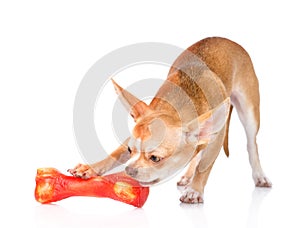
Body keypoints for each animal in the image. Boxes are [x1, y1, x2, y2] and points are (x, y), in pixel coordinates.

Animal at [68, 37, 272, 203]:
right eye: (130, 150)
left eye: (155, 158)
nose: (129, 170)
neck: (176, 109)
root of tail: (228, 40)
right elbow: (114, 155)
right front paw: (91, 168)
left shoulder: (216, 138)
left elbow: (204, 167)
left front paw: (194, 190)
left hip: (249, 110)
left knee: (251, 144)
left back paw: (259, 175)